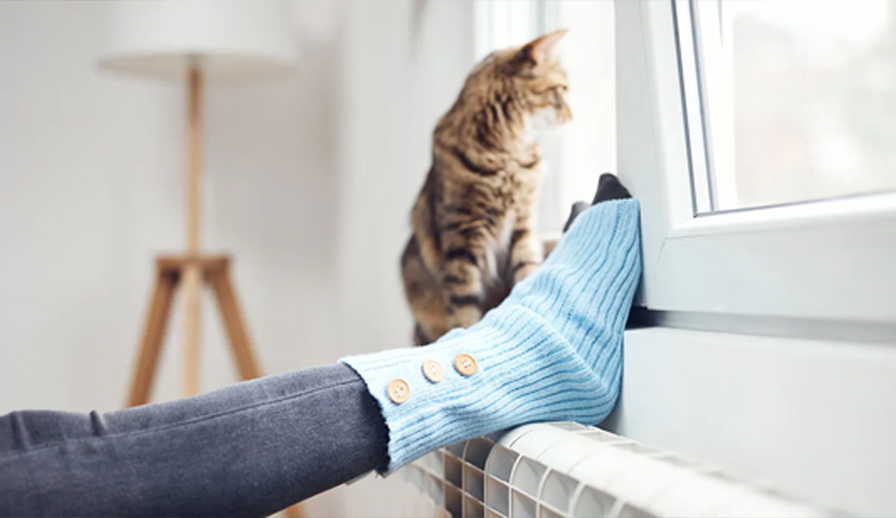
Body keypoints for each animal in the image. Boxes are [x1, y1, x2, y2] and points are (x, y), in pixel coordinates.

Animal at [400, 28, 572, 346]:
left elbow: (527, 274)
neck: (507, 155)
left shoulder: (523, 227)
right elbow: (465, 307)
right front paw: (466, 336)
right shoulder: (462, 237)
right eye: (562, 90)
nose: (571, 115)